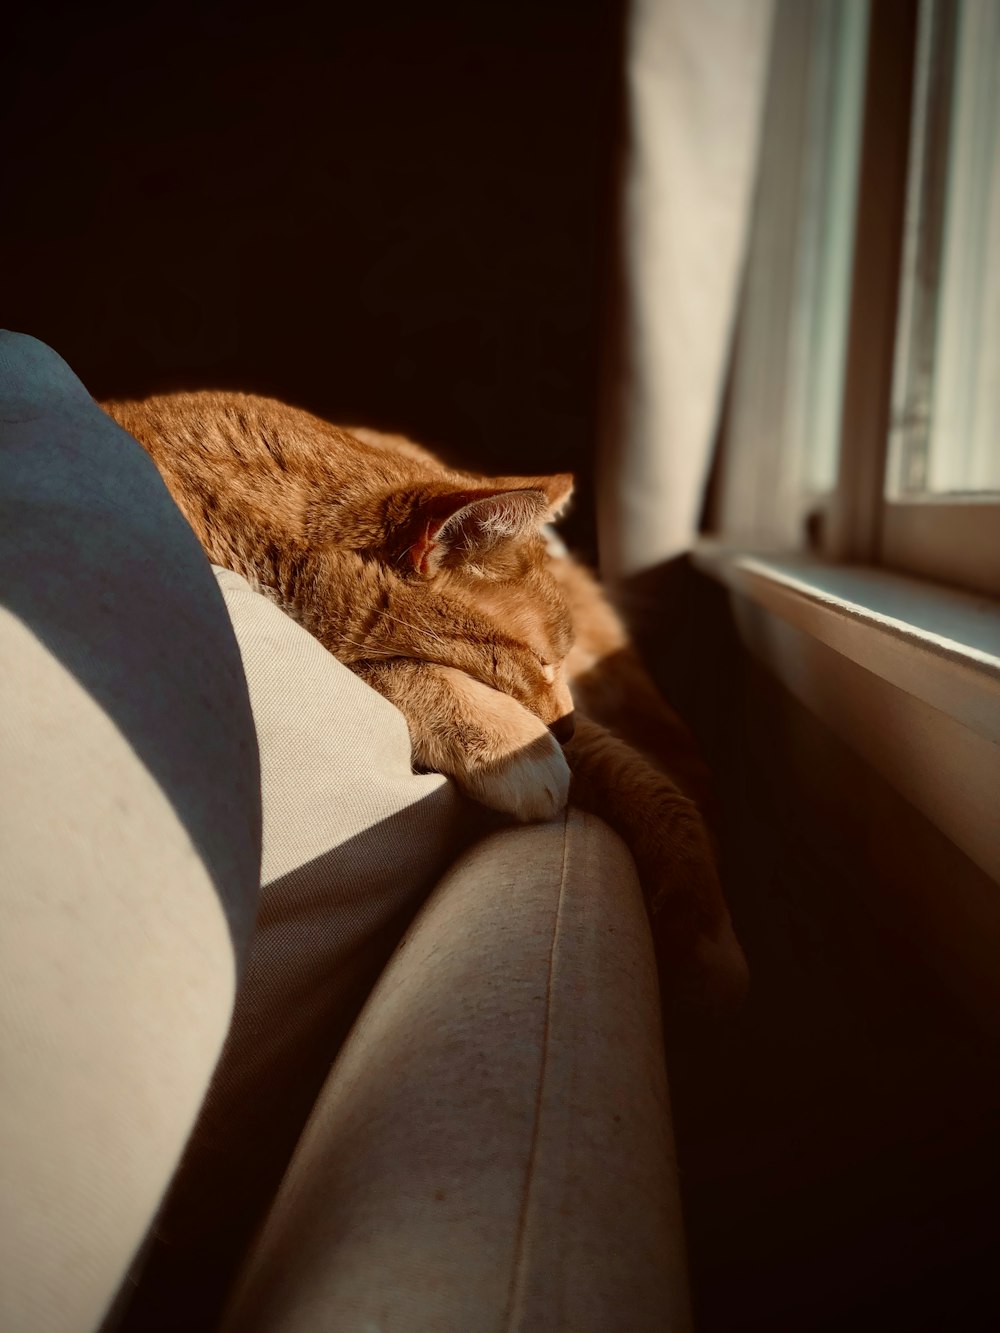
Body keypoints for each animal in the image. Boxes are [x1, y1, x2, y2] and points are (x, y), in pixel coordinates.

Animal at [102, 391, 746, 1007]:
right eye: (543, 660)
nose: (563, 725)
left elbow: (647, 782)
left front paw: (708, 941)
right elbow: (403, 671)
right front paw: (518, 745)